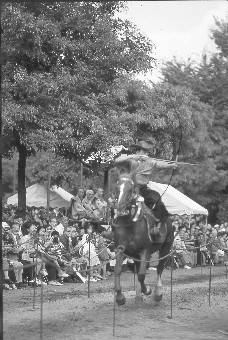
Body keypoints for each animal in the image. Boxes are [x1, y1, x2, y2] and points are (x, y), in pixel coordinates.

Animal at [113, 173, 174, 306]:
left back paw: (158, 294)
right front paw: (120, 298)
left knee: (159, 269)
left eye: (130, 189)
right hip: (135, 255)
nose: (120, 207)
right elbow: (118, 270)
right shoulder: (121, 249)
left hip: (166, 249)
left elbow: (141, 275)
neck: (130, 223)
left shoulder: (144, 250)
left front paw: (148, 290)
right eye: (117, 188)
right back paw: (138, 296)